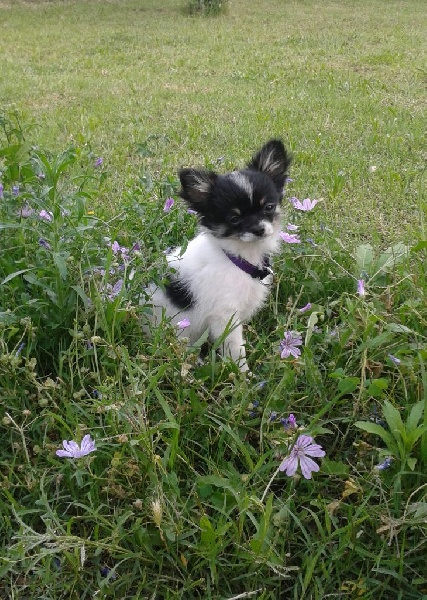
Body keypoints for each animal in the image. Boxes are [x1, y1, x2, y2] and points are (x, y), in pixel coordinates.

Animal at [147, 139, 290, 370]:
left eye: (269, 206)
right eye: (234, 218)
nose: (259, 229)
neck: (237, 258)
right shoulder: (225, 316)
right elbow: (236, 349)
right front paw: (244, 375)